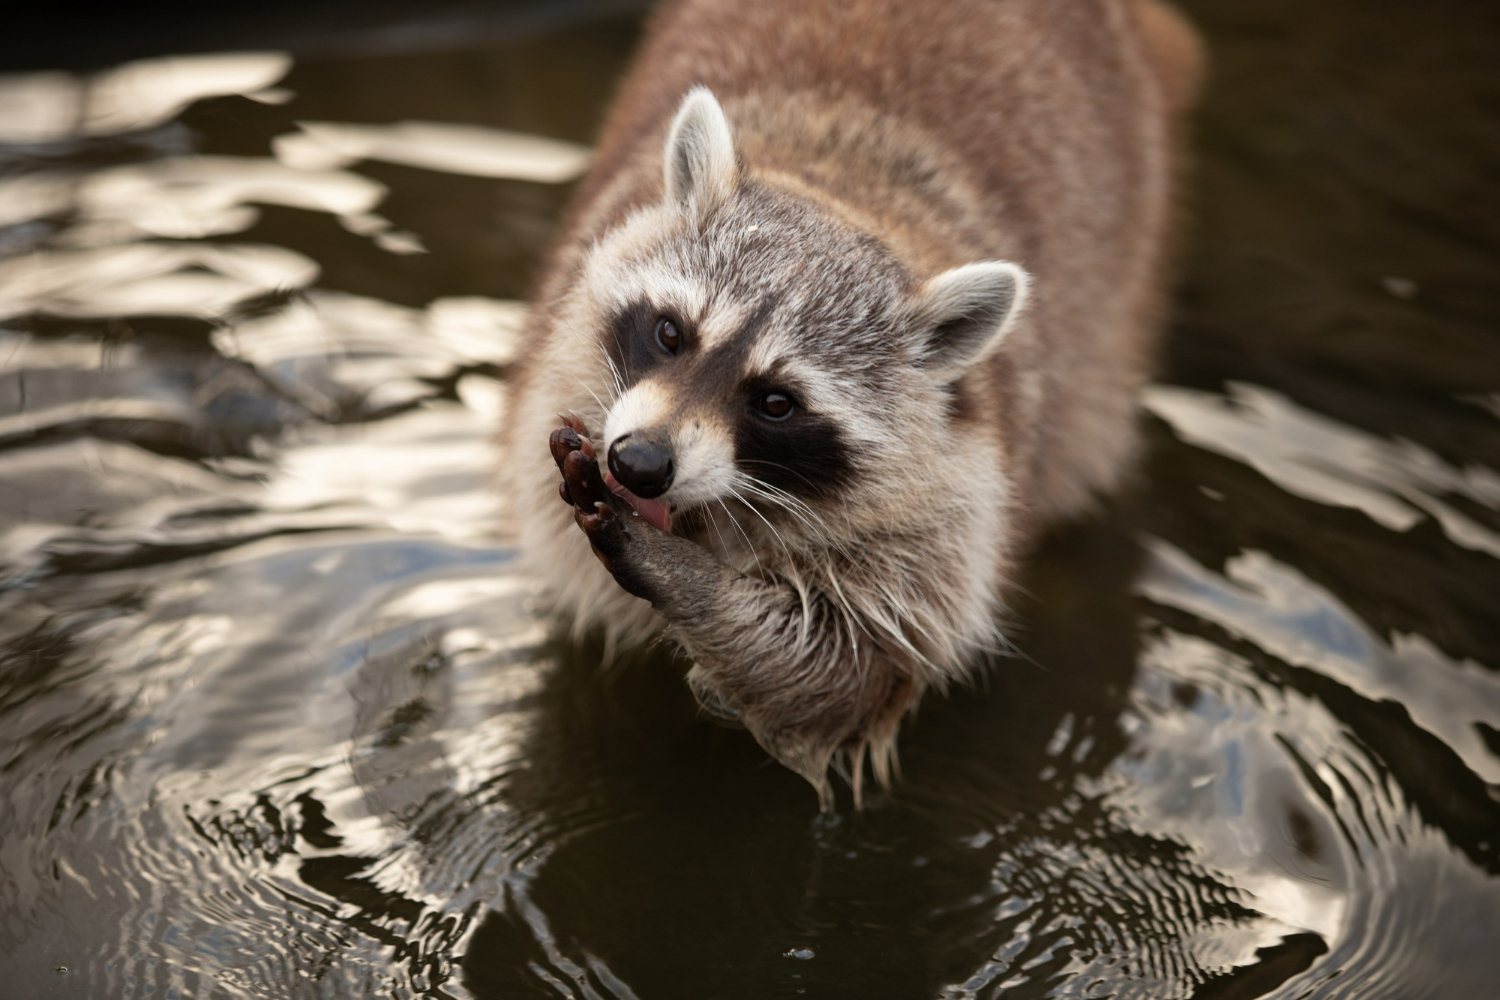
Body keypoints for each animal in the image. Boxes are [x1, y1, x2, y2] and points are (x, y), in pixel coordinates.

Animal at [503, 0, 1202, 806]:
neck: (849, 195)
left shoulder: (954, 501)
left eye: (776, 402)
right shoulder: (558, 388)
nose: (640, 464)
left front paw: (685, 580)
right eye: (670, 332)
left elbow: (848, 672)